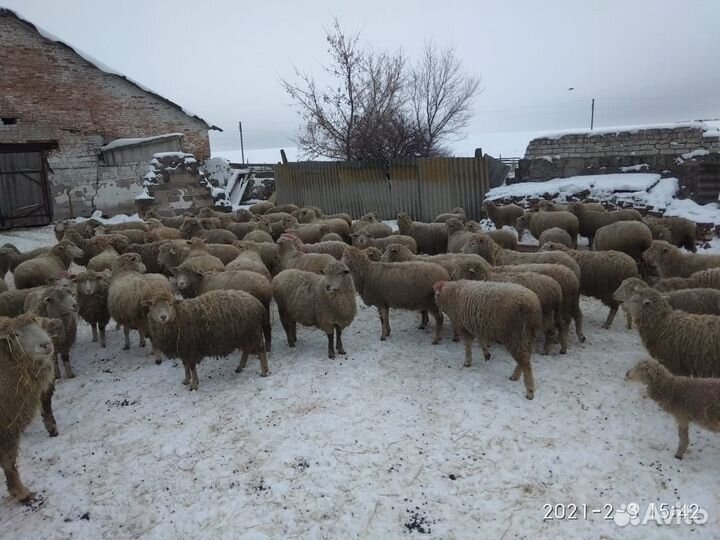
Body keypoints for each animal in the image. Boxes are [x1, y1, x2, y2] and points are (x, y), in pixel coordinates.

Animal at [0, 314, 62, 504]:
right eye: (16, 335)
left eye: (41, 325)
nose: (46, 345)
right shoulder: (7, 427)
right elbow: (9, 461)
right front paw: (21, 493)